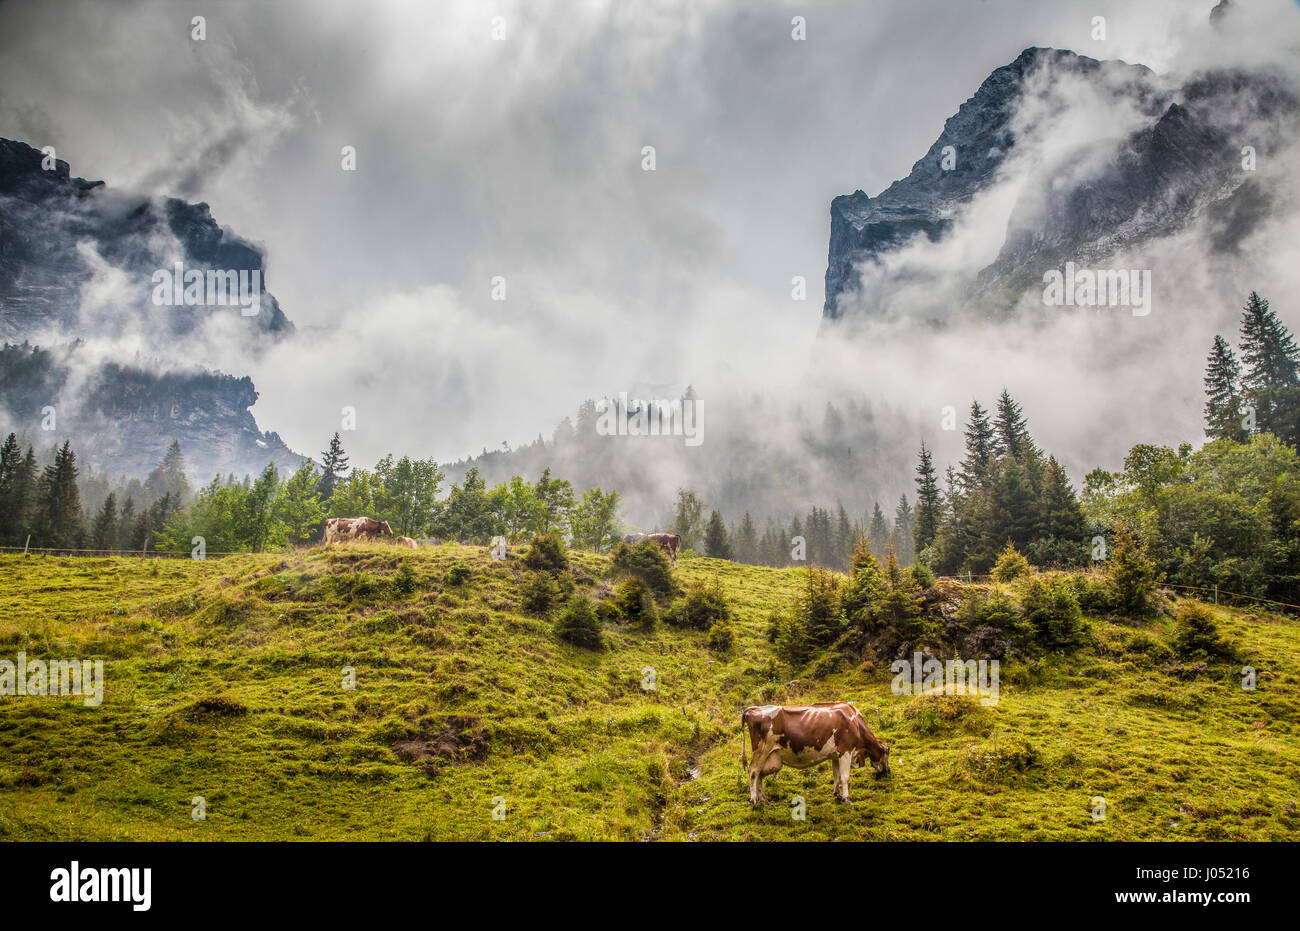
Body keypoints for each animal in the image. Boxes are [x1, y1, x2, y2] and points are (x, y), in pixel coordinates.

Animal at [748, 702, 889, 806]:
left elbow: (836, 775)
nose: (888, 771)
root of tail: (753, 709)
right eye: (887, 753)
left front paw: (837, 794)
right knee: (753, 772)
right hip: (761, 751)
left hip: (768, 756)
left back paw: (763, 799)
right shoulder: (846, 751)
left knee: (759, 774)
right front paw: (847, 799)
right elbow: (845, 777)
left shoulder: (836, 755)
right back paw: (754, 800)